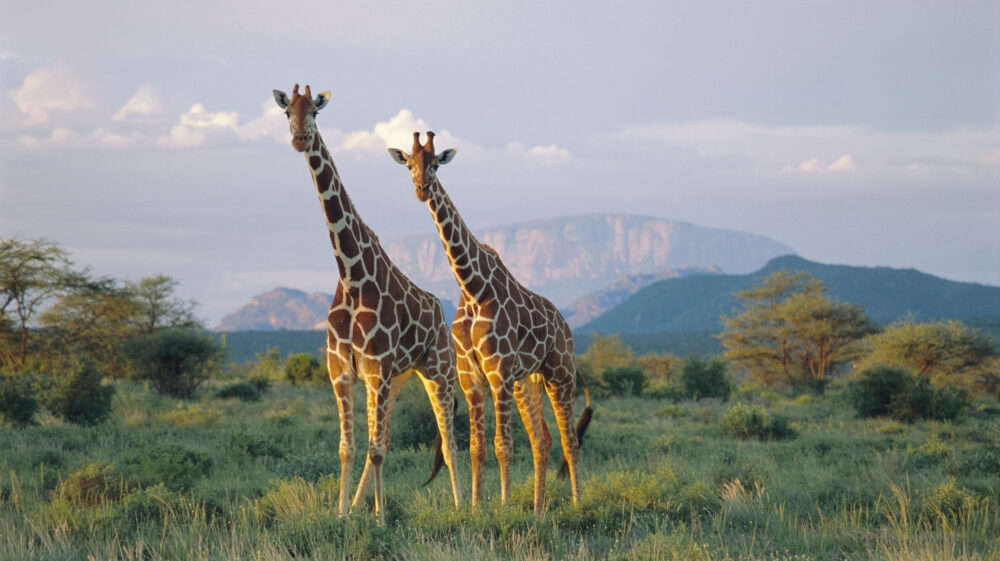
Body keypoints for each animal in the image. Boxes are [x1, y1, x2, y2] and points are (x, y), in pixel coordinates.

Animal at [274, 86, 462, 525]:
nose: (299, 138)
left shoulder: (376, 370)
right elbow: (350, 448)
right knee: (388, 439)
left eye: (315, 113)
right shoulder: (342, 370)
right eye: (288, 111)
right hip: (398, 379)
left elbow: (375, 450)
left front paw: (379, 521)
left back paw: (467, 507)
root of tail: (439, 311)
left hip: (438, 371)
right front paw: (343, 516)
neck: (352, 276)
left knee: (449, 443)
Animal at [389, 132, 592, 515]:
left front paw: (505, 506)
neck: (472, 286)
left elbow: (503, 445)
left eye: (435, 163)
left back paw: (575, 504)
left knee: (569, 440)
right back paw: (538, 510)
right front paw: (475, 506)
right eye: (409, 164)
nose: (421, 188)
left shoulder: (498, 371)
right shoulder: (471, 374)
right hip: (527, 381)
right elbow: (477, 446)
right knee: (542, 439)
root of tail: (565, 325)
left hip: (559, 374)